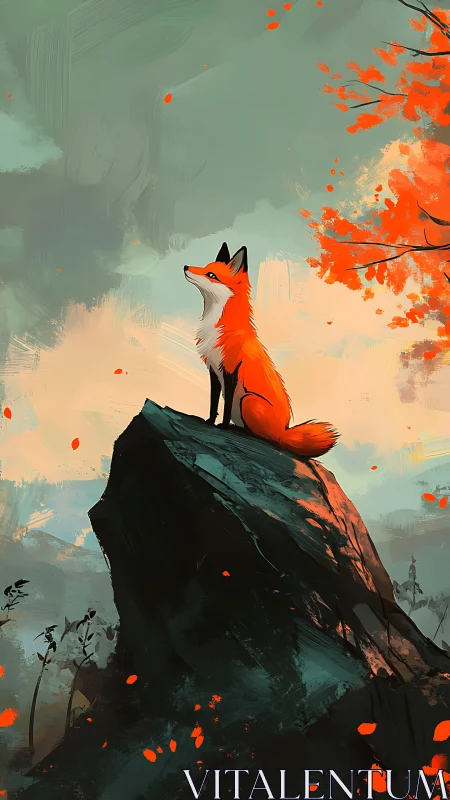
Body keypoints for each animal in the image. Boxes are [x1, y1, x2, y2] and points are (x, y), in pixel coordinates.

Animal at [184, 243, 339, 458]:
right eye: (206, 267)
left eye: (211, 275)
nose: (185, 266)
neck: (217, 327)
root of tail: (284, 431)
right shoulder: (214, 370)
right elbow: (213, 404)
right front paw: (209, 422)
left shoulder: (231, 370)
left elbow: (226, 406)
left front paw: (222, 426)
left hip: (248, 401)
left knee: (266, 437)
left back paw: (242, 431)